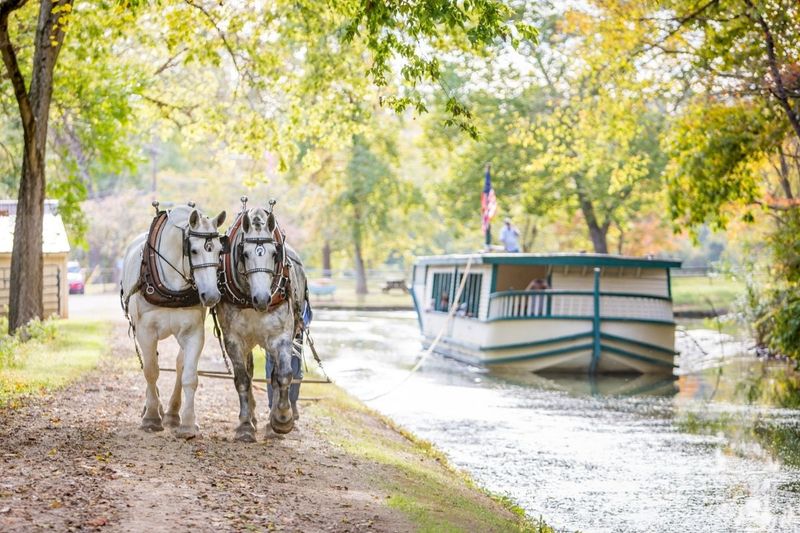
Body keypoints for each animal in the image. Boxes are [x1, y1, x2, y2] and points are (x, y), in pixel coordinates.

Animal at [121, 204, 227, 439]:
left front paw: (188, 423)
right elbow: (151, 371)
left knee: (179, 365)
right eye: (193, 250)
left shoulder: (194, 332)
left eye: (219, 250)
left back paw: (172, 413)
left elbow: (189, 376)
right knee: (150, 364)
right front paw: (151, 417)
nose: (212, 296)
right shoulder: (145, 331)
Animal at [216, 204, 308, 442]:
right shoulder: (234, 339)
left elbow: (283, 375)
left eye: (275, 254)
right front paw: (245, 426)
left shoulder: (281, 337)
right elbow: (242, 379)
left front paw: (282, 419)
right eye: (245, 253)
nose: (262, 299)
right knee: (249, 372)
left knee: (275, 375)